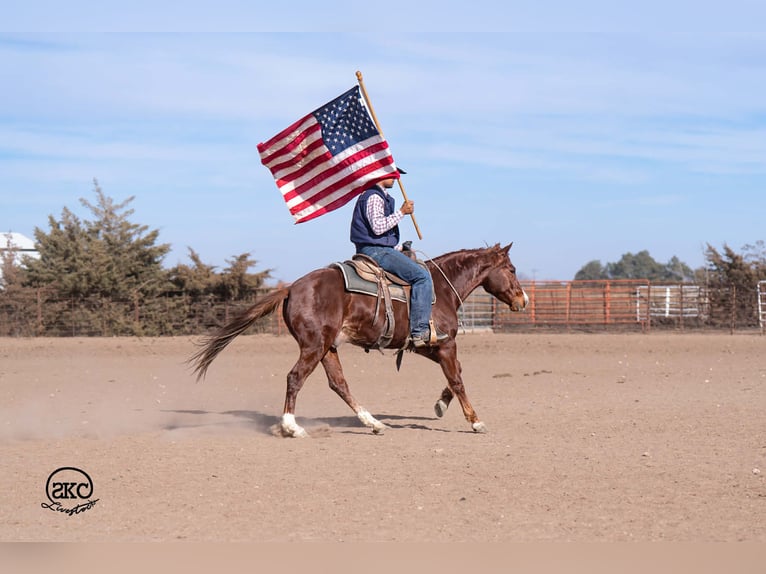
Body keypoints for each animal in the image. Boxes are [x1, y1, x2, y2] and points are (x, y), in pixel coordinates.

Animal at [190, 243, 528, 437]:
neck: (439, 288)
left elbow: (455, 375)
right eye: (511, 269)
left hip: (327, 347)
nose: (523, 300)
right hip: (314, 346)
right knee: (295, 378)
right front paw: (475, 421)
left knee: (338, 383)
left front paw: (441, 405)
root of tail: (291, 288)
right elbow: (457, 378)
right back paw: (291, 426)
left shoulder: (425, 345)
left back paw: (373, 423)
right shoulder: (445, 344)